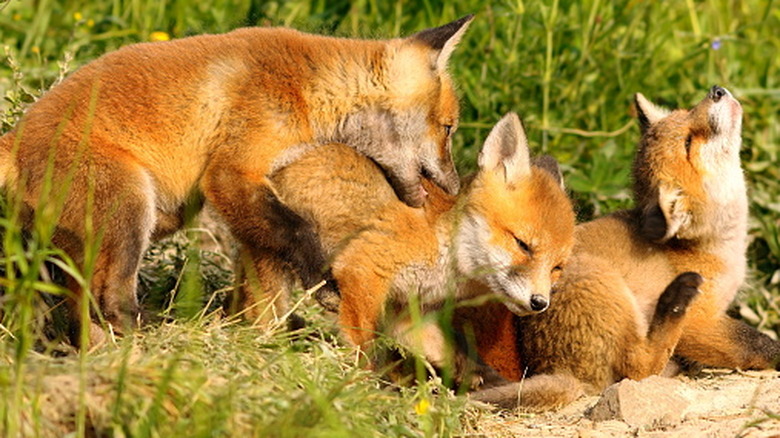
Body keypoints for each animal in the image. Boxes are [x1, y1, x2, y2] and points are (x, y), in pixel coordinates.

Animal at [0, 16, 473, 344]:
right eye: (449, 129)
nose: (454, 189)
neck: (308, 85)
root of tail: (15, 139)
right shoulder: (230, 174)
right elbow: (297, 229)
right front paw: (323, 283)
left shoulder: (249, 183)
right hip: (132, 207)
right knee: (109, 299)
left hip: (151, 217)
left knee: (79, 301)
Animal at [254, 112, 575, 382]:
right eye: (523, 245)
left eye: (557, 268)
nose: (540, 303)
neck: (442, 247)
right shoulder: (362, 269)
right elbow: (364, 345)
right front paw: (365, 386)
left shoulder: (404, 311)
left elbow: (448, 351)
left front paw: (477, 377)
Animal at [468, 86, 780, 410]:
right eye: (689, 142)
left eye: (687, 112)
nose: (717, 91)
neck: (712, 247)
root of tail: (555, 367)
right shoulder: (700, 321)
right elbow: (753, 343)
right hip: (604, 283)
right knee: (638, 367)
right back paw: (674, 301)